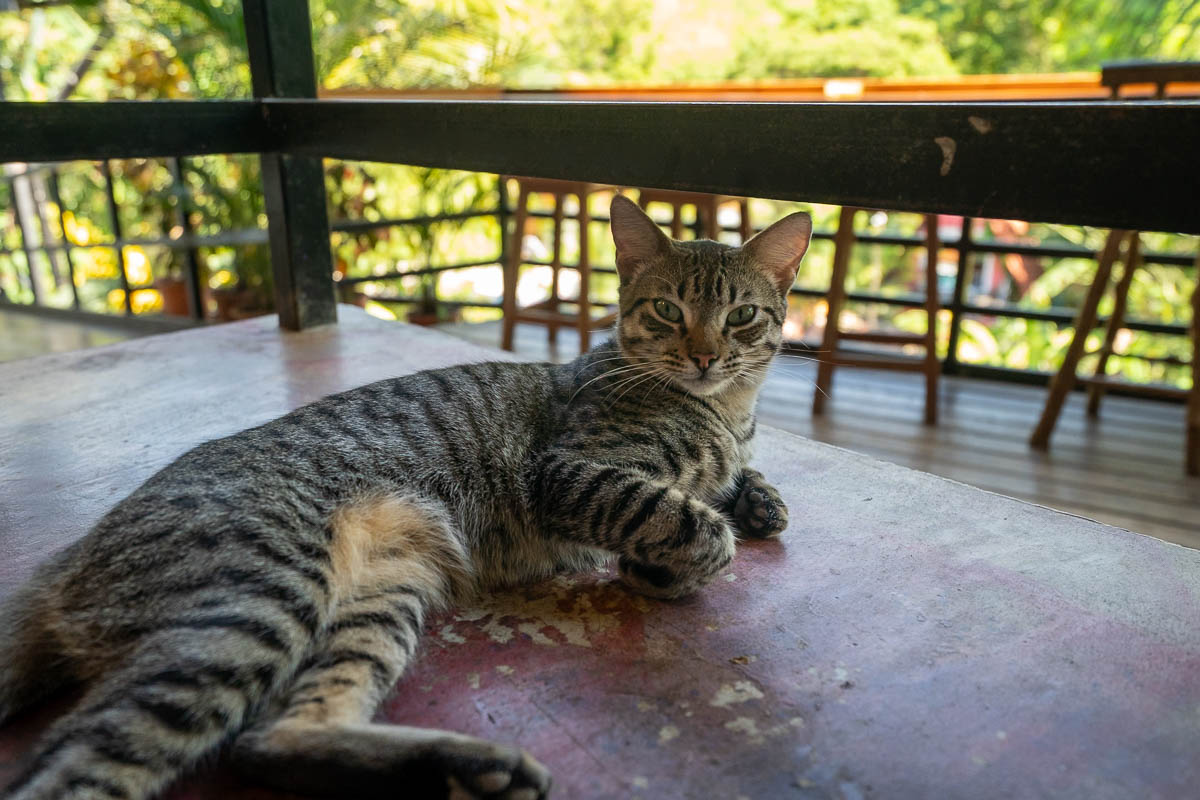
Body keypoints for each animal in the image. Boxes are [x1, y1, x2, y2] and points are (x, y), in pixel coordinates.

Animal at [0, 195, 816, 800]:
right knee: (78, 766)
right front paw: (678, 557)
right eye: (668, 312)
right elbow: (676, 515)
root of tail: (68, 559)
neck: (724, 410)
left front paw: (753, 499)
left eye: (742, 315)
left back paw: (472, 766)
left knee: (272, 738)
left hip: (376, 598)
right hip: (256, 596)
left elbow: (735, 482)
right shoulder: (570, 471)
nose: (704, 356)